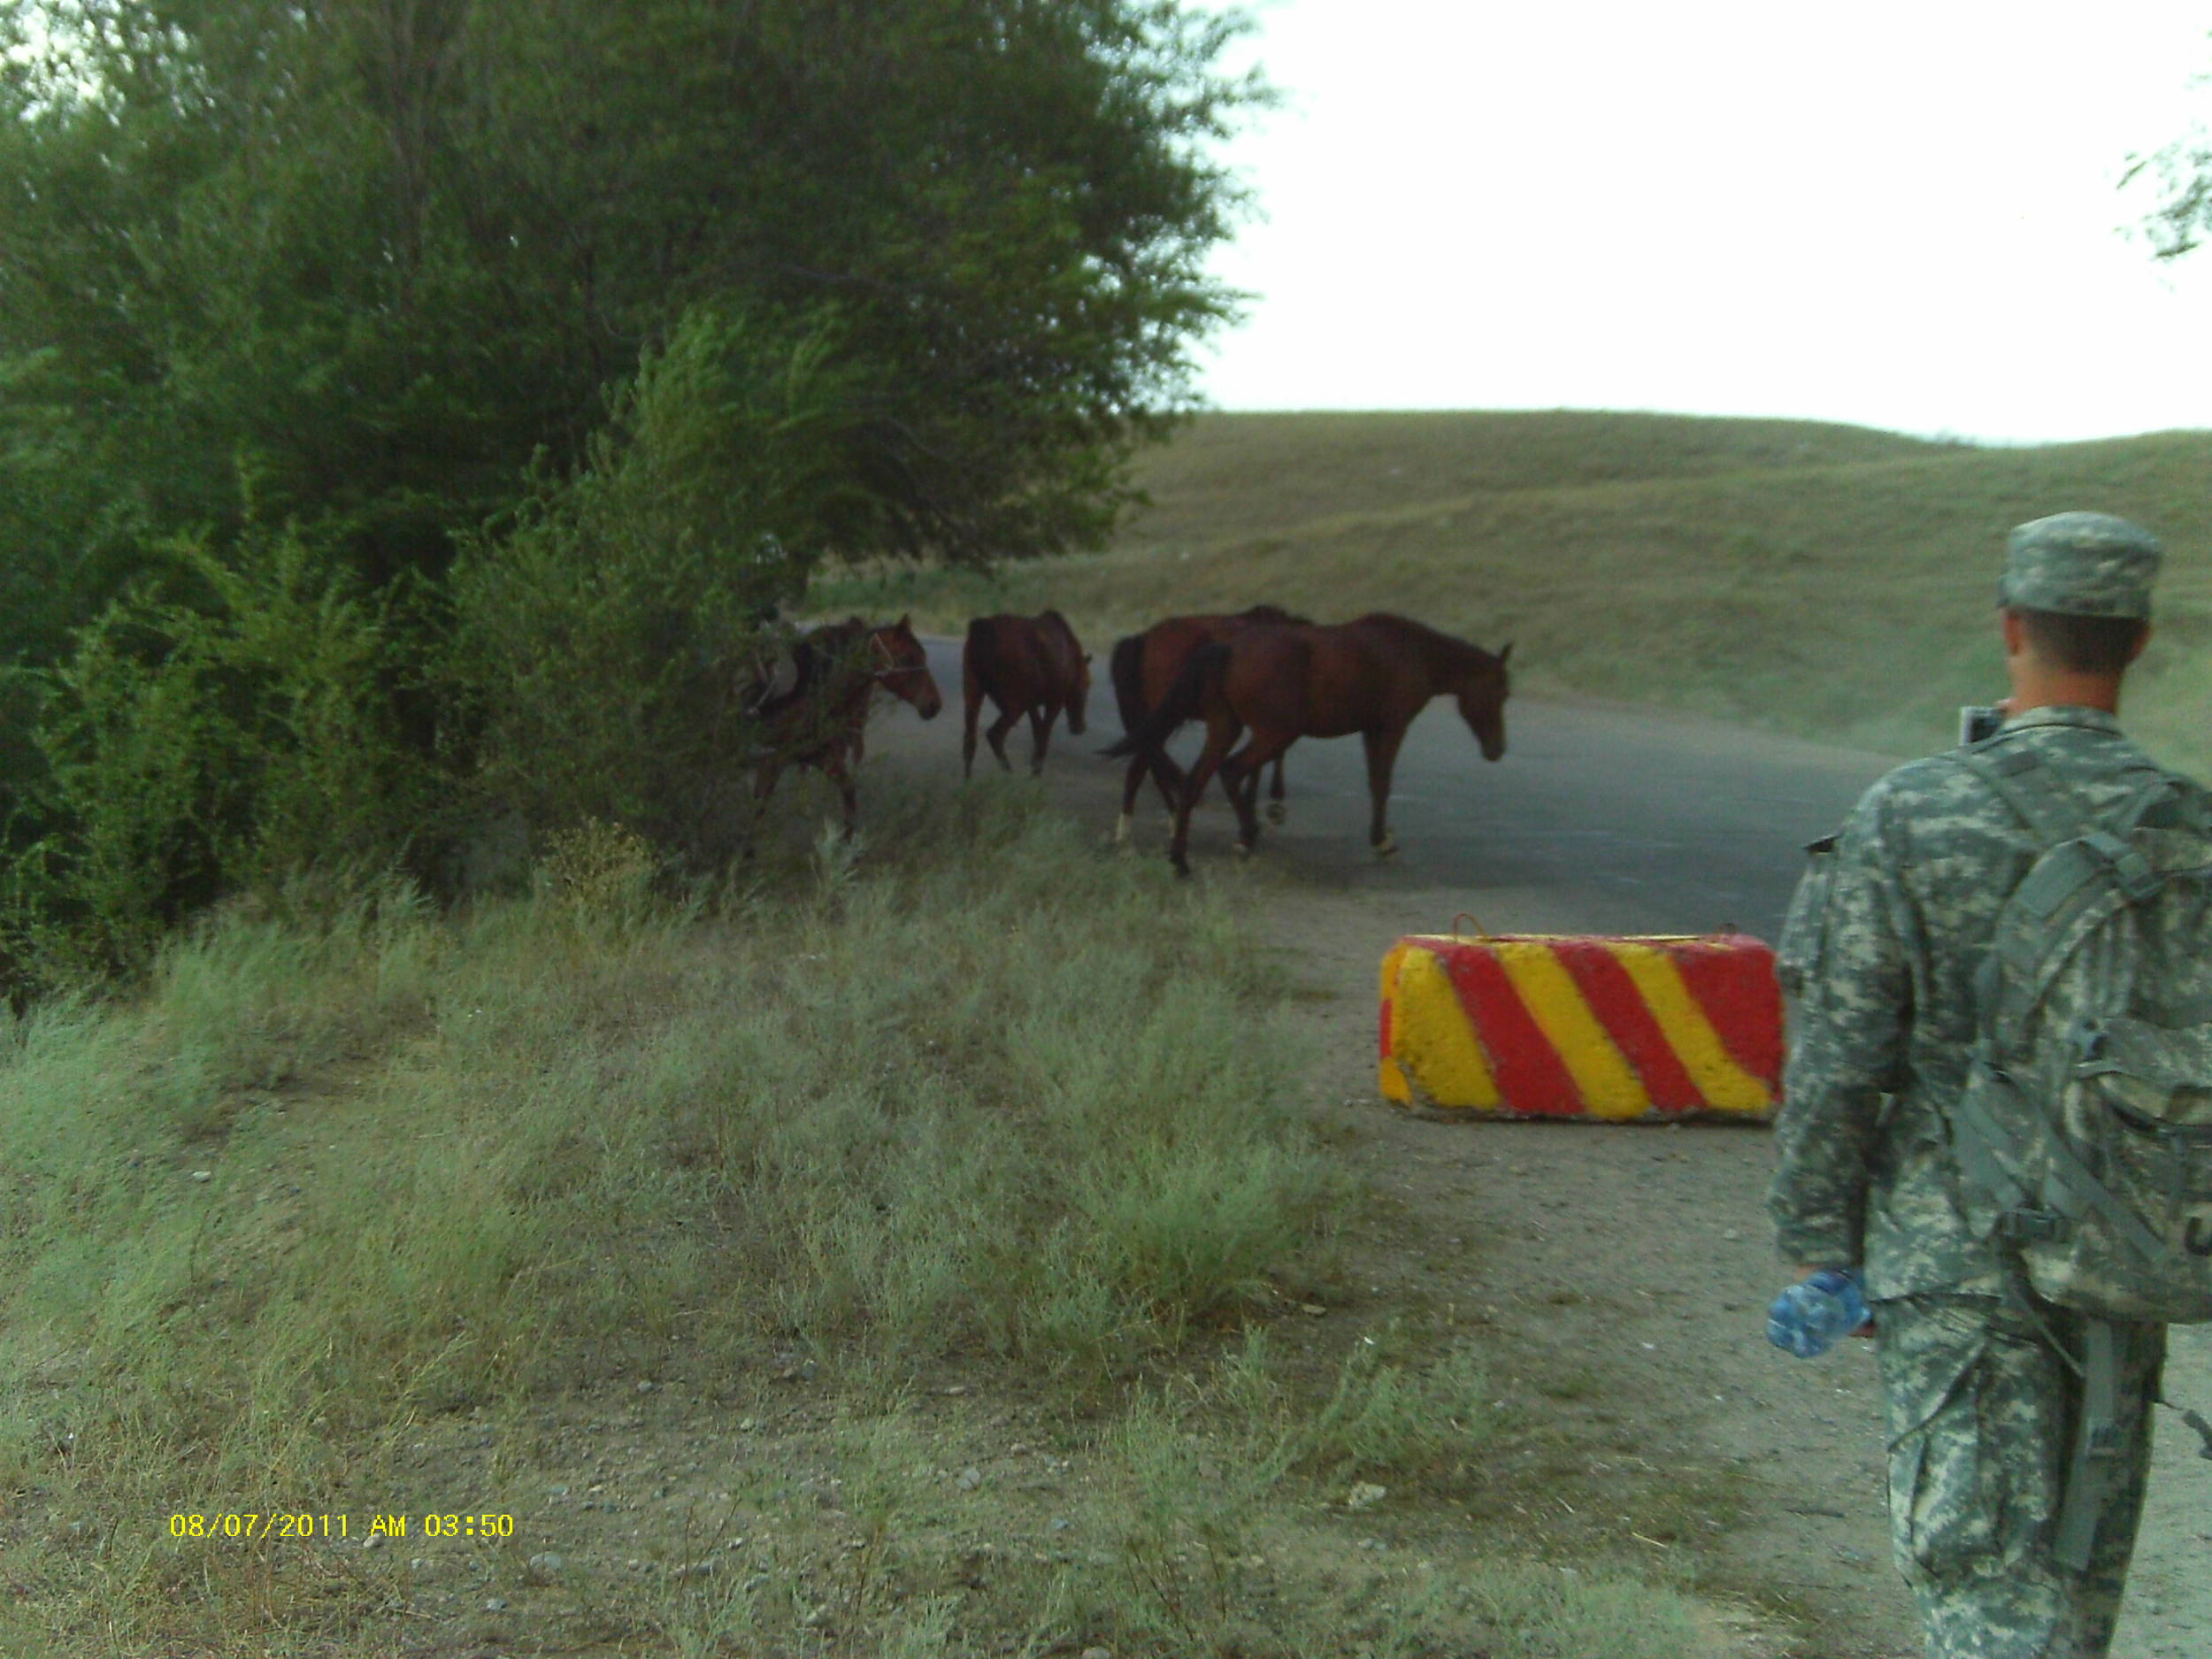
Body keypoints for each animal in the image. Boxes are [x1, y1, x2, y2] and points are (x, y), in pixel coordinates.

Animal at [752, 615, 942, 832]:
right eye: (907, 658)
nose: (934, 704)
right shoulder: (774, 760)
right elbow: (759, 807)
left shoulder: (820, 758)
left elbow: (849, 797)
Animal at [960, 611, 1088, 779]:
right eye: (1086, 686)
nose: (1080, 727)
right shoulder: (1055, 699)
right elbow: (1044, 734)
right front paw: (1036, 773)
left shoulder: (1032, 703)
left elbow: (1037, 731)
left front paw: (1034, 767)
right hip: (1015, 702)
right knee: (994, 734)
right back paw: (1009, 773)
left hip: (972, 689)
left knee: (970, 739)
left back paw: (968, 780)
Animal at [1115, 615, 1513, 876]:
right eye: (1500, 692)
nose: (1497, 750)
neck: (1411, 651)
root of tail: (1227, 648)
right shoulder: (1391, 727)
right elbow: (1382, 784)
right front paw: (1384, 843)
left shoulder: (1371, 729)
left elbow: (1375, 783)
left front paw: (1380, 838)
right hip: (1274, 732)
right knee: (1228, 771)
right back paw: (1244, 836)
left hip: (1226, 727)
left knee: (1194, 779)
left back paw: (1179, 859)